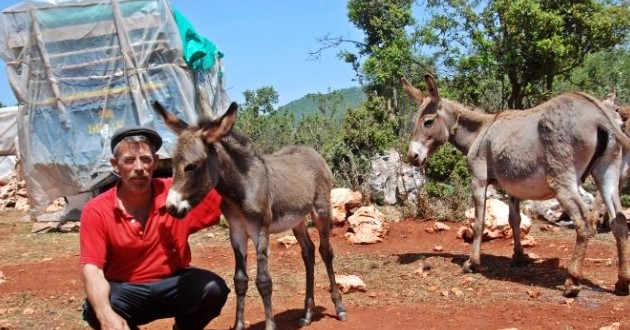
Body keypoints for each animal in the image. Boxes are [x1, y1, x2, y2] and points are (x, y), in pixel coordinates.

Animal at [154, 102, 350, 330]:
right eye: (173, 164)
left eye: (192, 166)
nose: (171, 207)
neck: (240, 190)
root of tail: (311, 151)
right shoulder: (237, 232)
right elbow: (240, 279)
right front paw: (239, 325)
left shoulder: (260, 231)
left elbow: (263, 281)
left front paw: (270, 325)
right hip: (297, 219)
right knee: (308, 252)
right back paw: (307, 313)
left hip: (321, 210)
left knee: (325, 251)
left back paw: (339, 308)